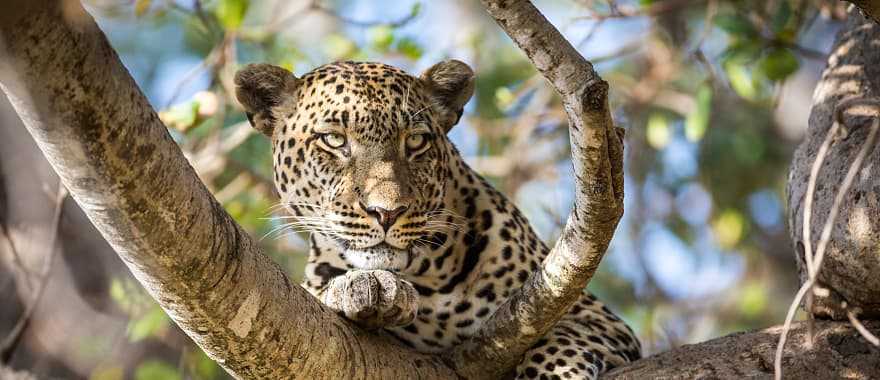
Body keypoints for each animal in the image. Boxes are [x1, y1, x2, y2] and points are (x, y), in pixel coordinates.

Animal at [235, 60, 640, 378]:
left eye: (415, 142)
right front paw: (364, 287)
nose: (387, 212)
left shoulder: (599, 319)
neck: (426, 279)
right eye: (334, 140)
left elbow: (560, 339)